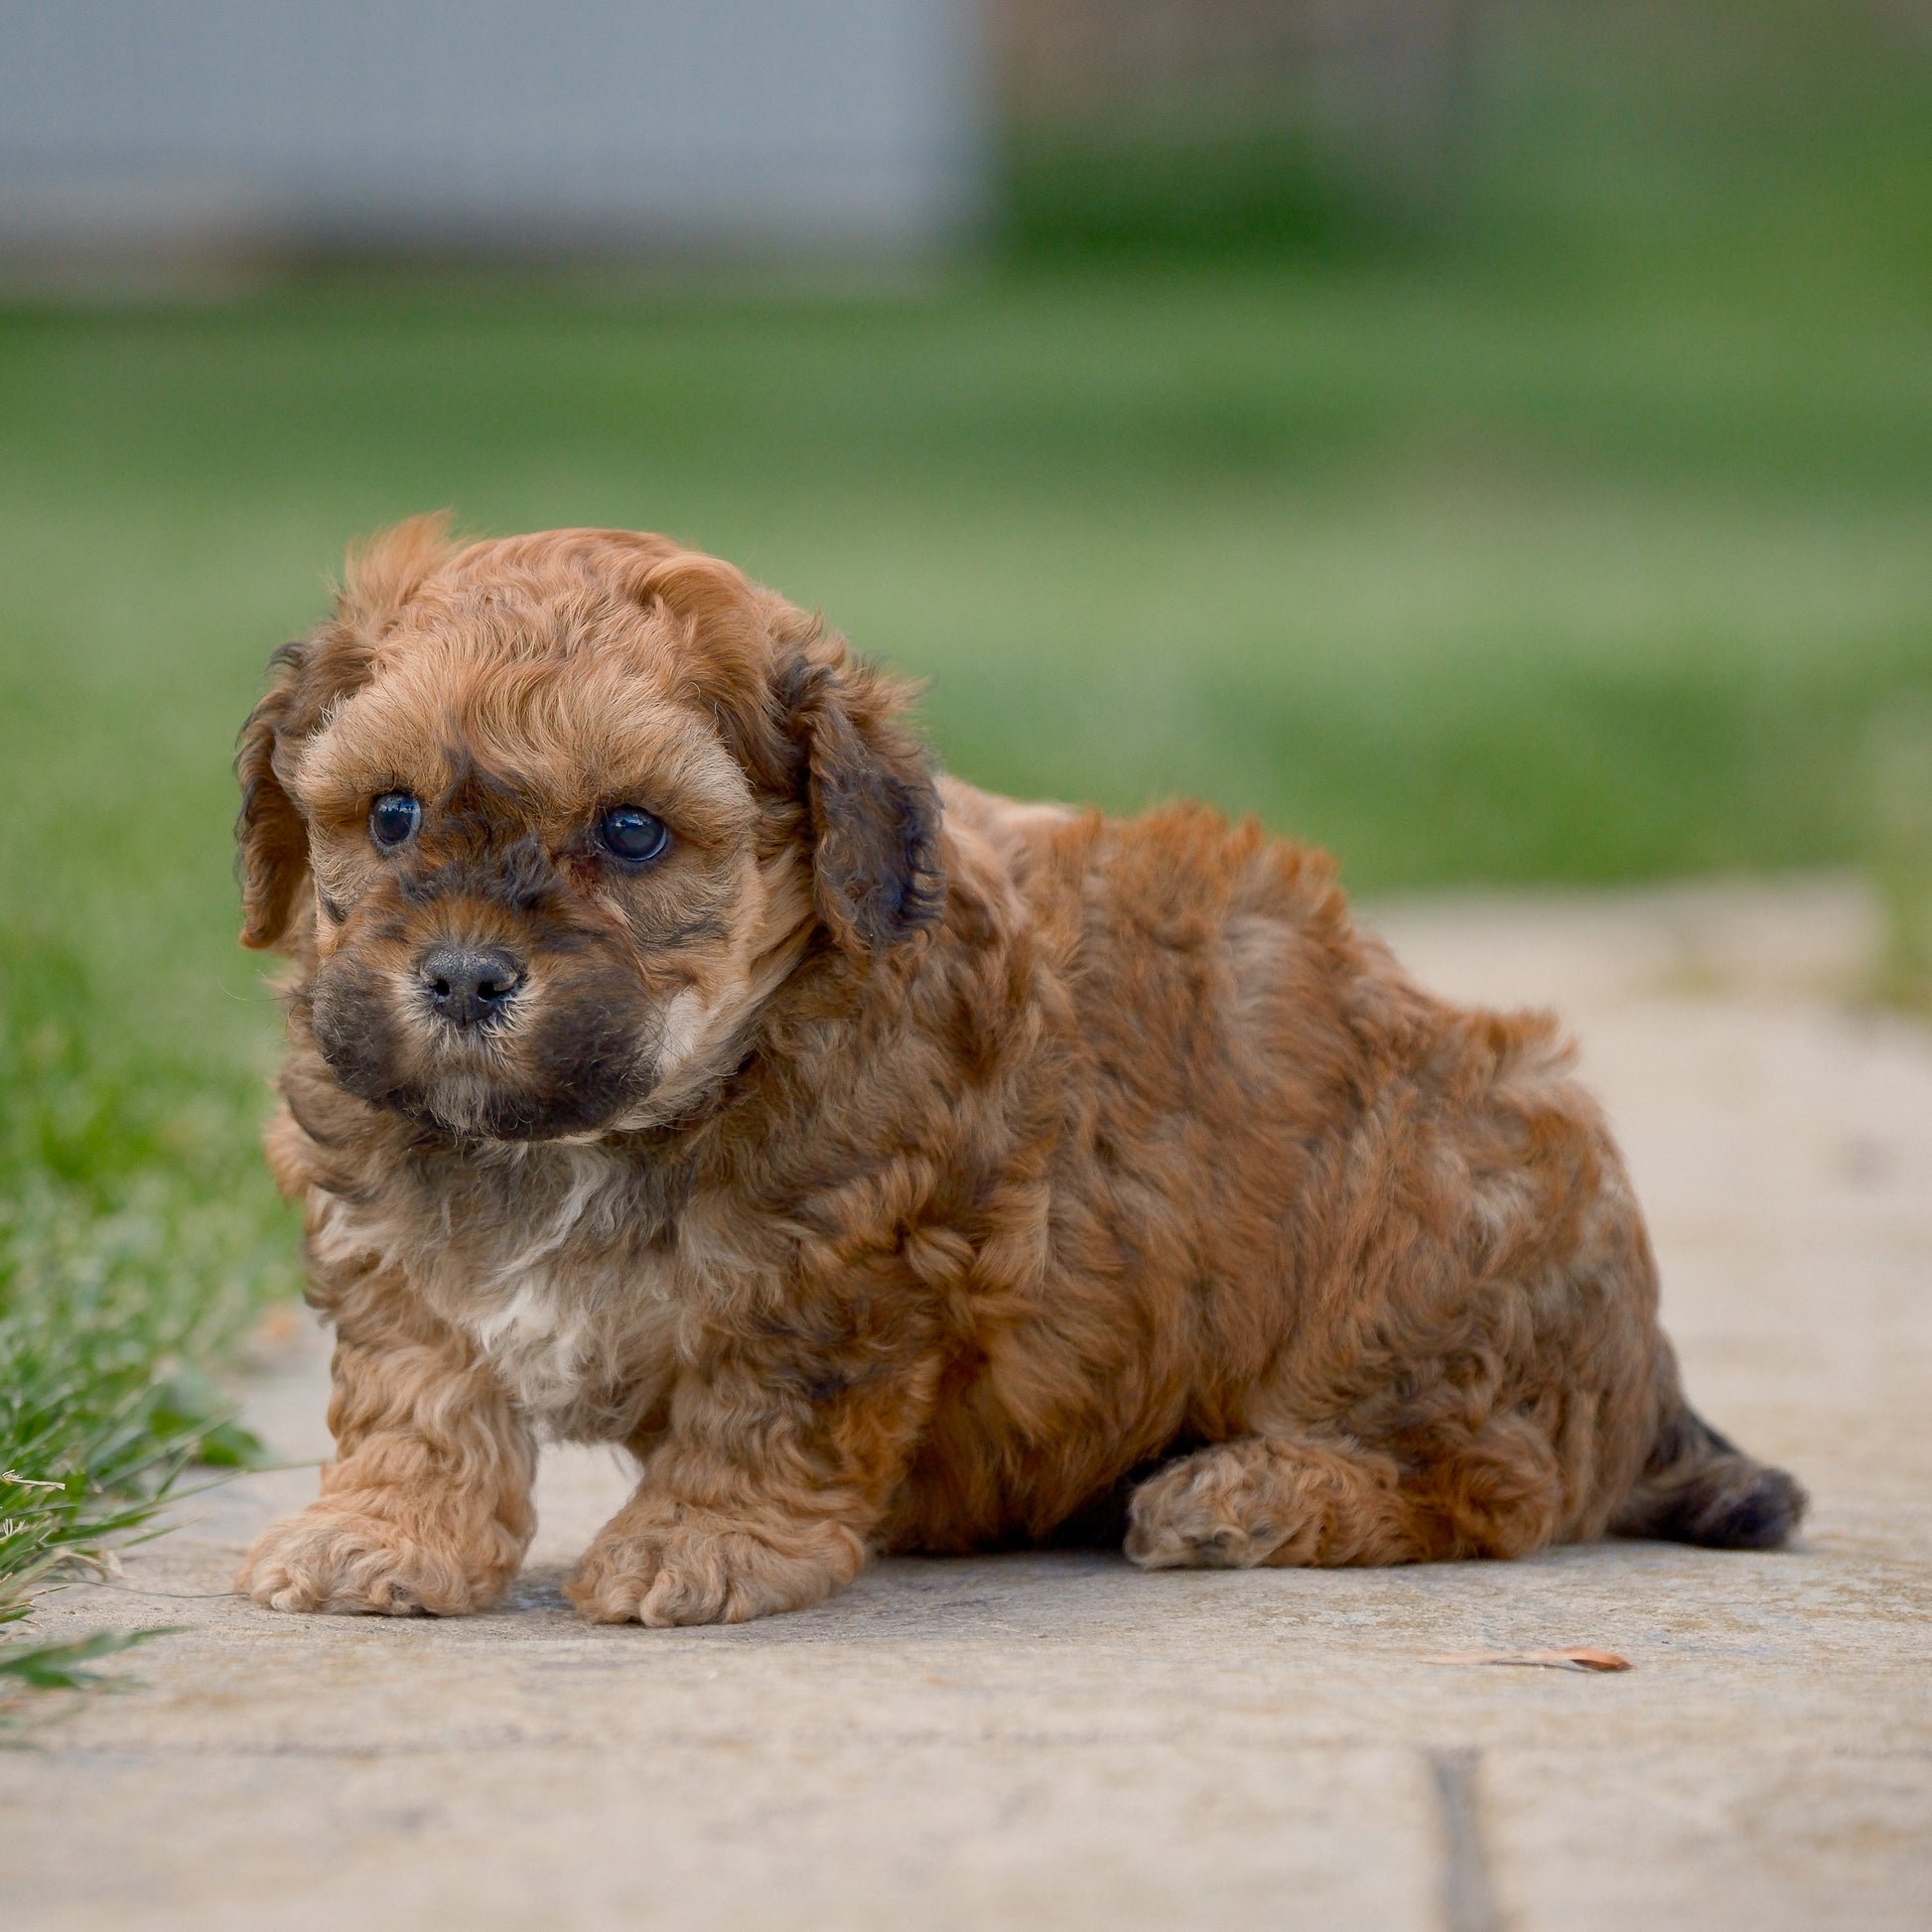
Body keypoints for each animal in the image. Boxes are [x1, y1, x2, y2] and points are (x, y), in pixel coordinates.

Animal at [233, 521, 1800, 1622]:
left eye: (630, 831)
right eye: (390, 815)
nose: (460, 977)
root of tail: (1637, 1358)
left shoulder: (844, 1268)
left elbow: (759, 1408)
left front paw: (702, 1541)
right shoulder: (392, 1225)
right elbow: (422, 1385)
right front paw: (383, 1532)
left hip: (1417, 1226)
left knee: (1490, 1480)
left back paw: (1250, 1493)